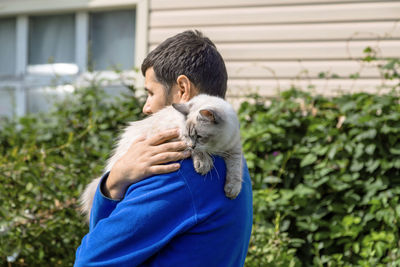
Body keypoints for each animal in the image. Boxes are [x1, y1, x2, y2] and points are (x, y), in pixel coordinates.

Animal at [81, 94, 242, 220]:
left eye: (199, 137)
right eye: (187, 136)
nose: (192, 145)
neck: (216, 148)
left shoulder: (233, 148)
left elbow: (236, 170)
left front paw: (232, 191)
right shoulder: (174, 138)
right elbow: (198, 153)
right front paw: (203, 163)